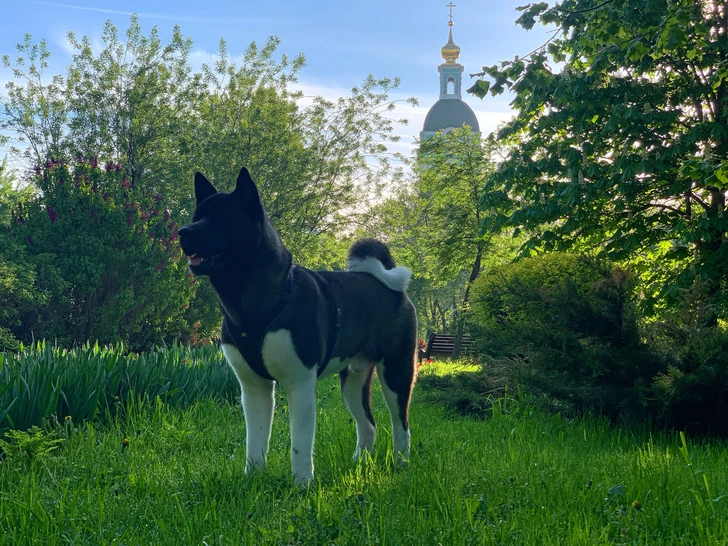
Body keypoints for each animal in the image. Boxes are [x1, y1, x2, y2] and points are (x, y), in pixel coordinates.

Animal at [177, 168, 418, 482]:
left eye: (222, 219)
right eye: (197, 217)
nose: (184, 231)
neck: (262, 300)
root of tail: (388, 284)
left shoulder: (300, 384)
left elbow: (300, 443)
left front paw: (302, 483)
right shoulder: (253, 389)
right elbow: (255, 441)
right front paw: (253, 478)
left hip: (396, 372)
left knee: (401, 424)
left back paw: (401, 463)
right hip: (353, 380)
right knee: (368, 425)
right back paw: (359, 465)